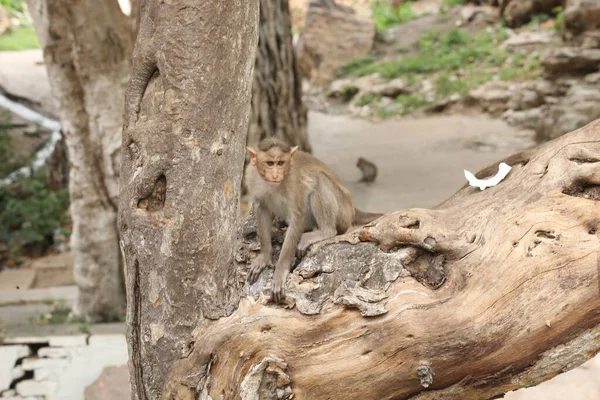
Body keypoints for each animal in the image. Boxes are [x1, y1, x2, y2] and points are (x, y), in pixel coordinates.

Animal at [246, 139, 382, 302]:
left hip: (343, 212)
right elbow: (262, 209)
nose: (276, 174)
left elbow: (297, 217)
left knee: (320, 180)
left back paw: (324, 231)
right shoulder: (253, 178)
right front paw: (264, 256)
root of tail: (352, 208)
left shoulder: (293, 182)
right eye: (270, 163)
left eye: (281, 163)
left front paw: (281, 271)